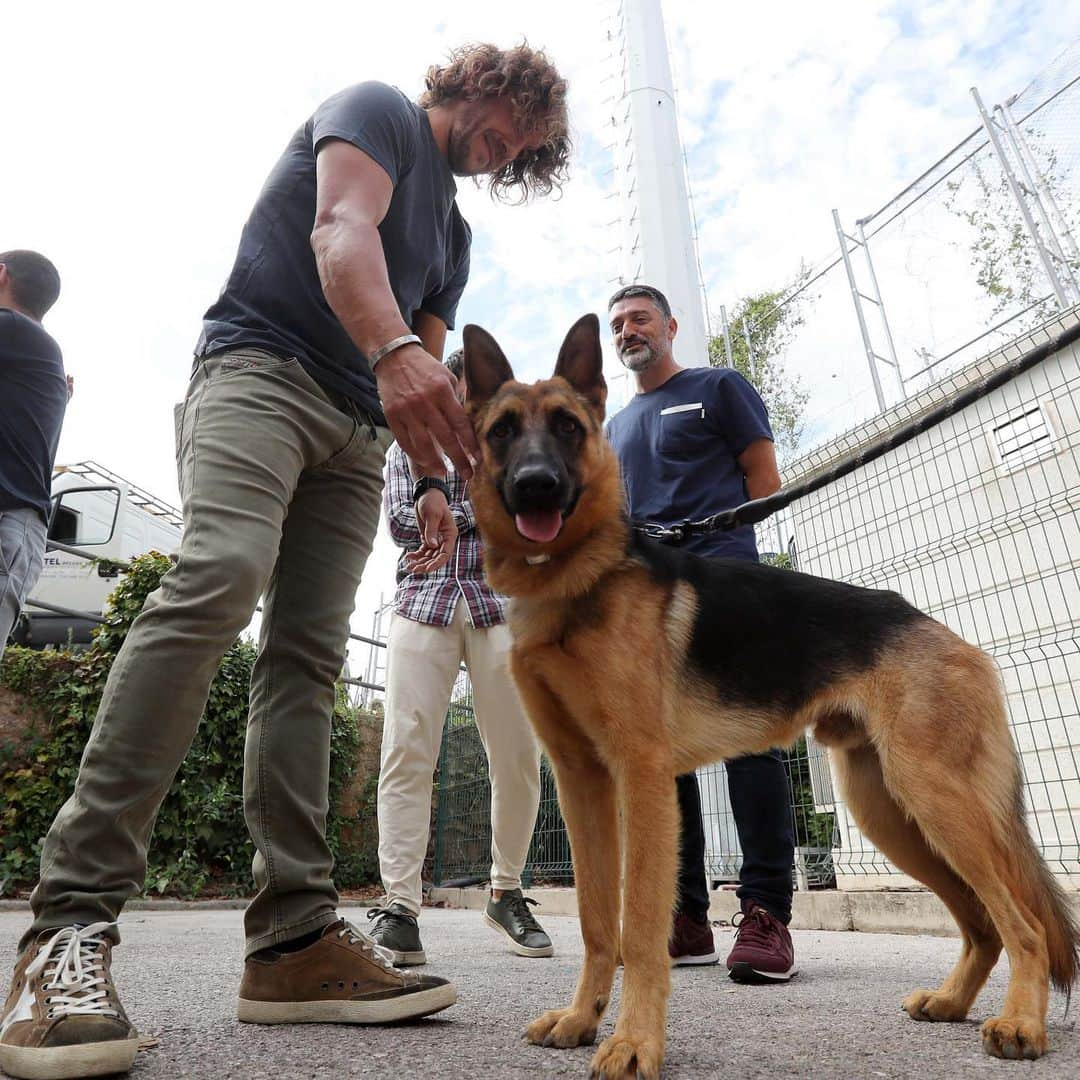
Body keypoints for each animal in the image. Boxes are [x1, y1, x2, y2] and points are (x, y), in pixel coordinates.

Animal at [462, 315, 1080, 1080]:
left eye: (568, 427)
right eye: (503, 431)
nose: (537, 486)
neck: (578, 580)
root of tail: (952, 638)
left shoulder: (640, 779)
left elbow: (638, 927)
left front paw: (635, 1042)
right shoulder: (582, 786)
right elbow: (597, 921)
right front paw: (582, 1020)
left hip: (936, 800)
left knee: (1021, 923)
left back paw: (1021, 1024)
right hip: (890, 813)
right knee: (981, 921)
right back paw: (953, 1001)